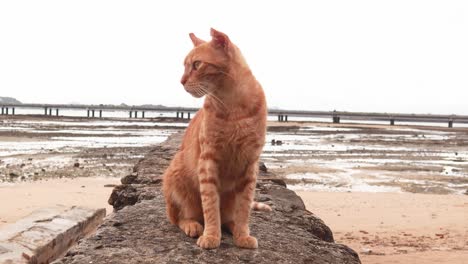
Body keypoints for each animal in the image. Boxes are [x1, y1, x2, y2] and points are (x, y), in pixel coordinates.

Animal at [162, 28, 268, 250]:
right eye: (185, 66)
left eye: (196, 64)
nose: (181, 81)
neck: (233, 103)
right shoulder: (208, 161)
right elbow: (210, 204)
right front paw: (211, 235)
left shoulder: (250, 164)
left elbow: (245, 206)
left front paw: (242, 234)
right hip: (174, 175)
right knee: (179, 217)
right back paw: (193, 225)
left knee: (229, 216)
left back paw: (233, 226)